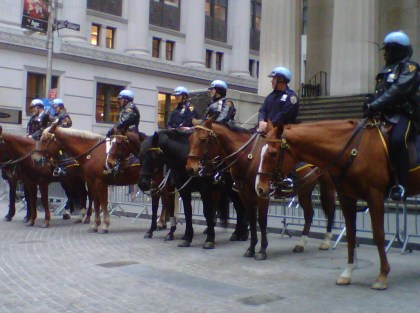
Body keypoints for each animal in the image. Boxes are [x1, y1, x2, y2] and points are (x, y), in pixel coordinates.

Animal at [185, 119, 336, 256]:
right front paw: (251, 248)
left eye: (203, 139)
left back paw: (325, 241)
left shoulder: (262, 194)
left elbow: (262, 221)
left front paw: (262, 249)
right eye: (190, 139)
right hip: (304, 191)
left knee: (330, 210)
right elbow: (252, 221)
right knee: (309, 214)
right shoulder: (245, 195)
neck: (248, 159)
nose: (190, 168)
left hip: (326, 186)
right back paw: (301, 243)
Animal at [254, 118, 420, 288]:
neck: (354, 151)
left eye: (273, 153)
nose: (259, 187)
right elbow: (351, 233)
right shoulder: (346, 197)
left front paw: (382, 275)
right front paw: (348, 272)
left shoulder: (375, 196)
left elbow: (378, 234)